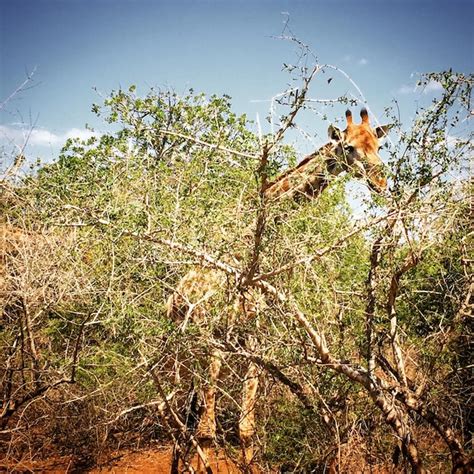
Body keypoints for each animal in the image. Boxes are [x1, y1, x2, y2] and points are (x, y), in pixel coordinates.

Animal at [167, 110, 388, 470]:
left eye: (379, 145)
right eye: (350, 147)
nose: (380, 182)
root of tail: (173, 299)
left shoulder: (255, 336)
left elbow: (245, 425)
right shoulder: (216, 338)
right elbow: (208, 430)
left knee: (183, 414)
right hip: (186, 351)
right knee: (180, 415)